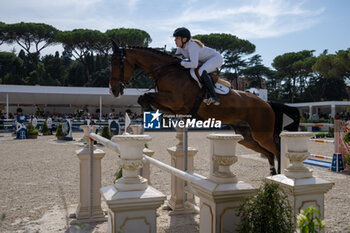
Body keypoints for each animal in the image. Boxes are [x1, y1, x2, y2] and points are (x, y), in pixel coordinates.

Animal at [110, 40, 300, 175]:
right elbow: (146, 98)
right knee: (268, 153)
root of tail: (266, 103)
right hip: (247, 137)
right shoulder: (170, 101)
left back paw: (282, 176)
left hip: (262, 133)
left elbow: (146, 97)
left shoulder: (175, 99)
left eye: (118, 63)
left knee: (277, 150)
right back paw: (273, 174)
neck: (166, 71)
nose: (114, 90)